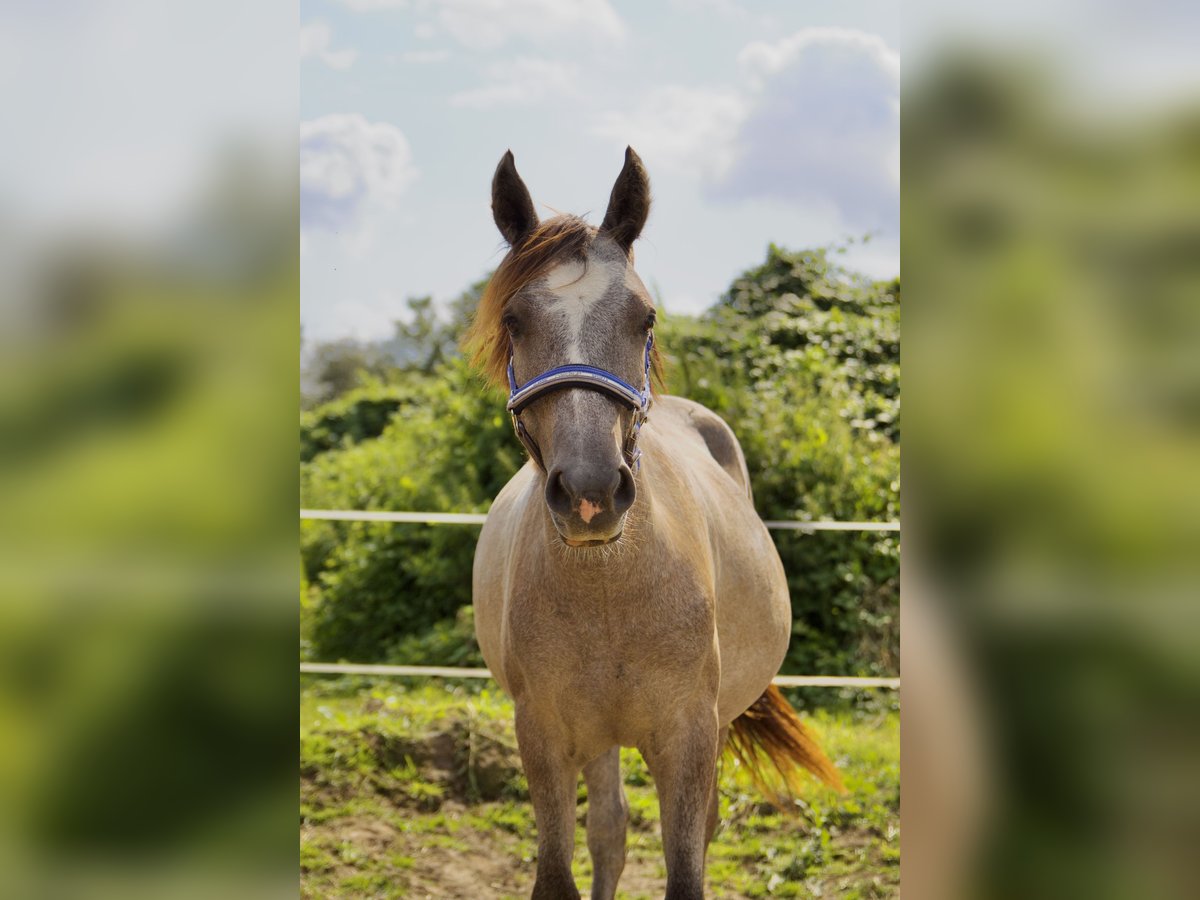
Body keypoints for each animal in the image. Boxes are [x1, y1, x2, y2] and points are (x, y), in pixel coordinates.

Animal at [463, 150, 840, 900]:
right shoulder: (543, 734)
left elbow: (686, 867)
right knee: (609, 830)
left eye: (645, 318)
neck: (611, 587)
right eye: (514, 320)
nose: (590, 493)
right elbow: (564, 868)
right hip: (599, 738)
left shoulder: (689, 735)